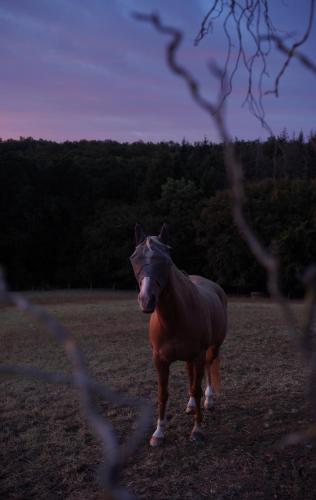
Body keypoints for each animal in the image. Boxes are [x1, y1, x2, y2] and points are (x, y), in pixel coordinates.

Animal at [129, 223, 227, 446]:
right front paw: (158, 432)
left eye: (166, 260)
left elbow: (196, 389)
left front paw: (197, 430)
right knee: (191, 375)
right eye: (134, 258)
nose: (146, 299)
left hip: (212, 348)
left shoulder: (198, 354)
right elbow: (163, 394)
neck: (175, 319)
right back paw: (190, 406)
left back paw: (209, 400)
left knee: (208, 368)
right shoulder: (160, 360)